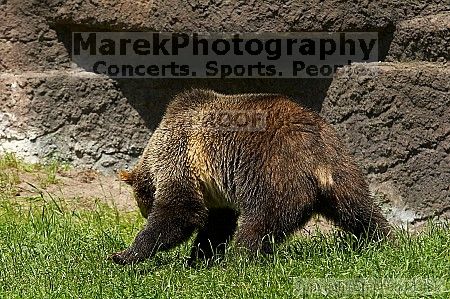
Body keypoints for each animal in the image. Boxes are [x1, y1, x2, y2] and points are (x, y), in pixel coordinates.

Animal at [110, 88, 390, 264]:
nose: (144, 213)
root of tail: (315, 155)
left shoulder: (181, 156)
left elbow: (181, 210)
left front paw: (125, 255)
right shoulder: (214, 189)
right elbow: (217, 223)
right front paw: (199, 258)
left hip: (273, 173)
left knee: (260, 222)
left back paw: (240, 260)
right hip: (342, 169)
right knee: (360, 210)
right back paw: (384, 241)